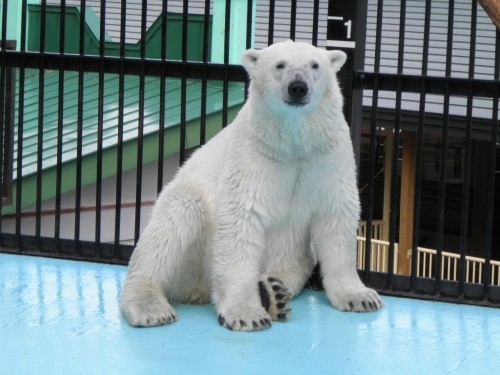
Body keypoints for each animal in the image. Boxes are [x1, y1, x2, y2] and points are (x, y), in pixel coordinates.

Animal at [120, 39, 382, 330]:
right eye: (280, 65)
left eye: (315, 65)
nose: (298, 87)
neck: (293, 144)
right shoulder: (254, 153)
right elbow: (242, 216)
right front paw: (246, 313)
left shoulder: (326, 154)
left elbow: (335, 215)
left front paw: (361, 297)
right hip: (190, 242)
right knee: (172, 224)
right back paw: (150, 306)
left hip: (291, 254)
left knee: (296, 264)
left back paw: (273, 292)